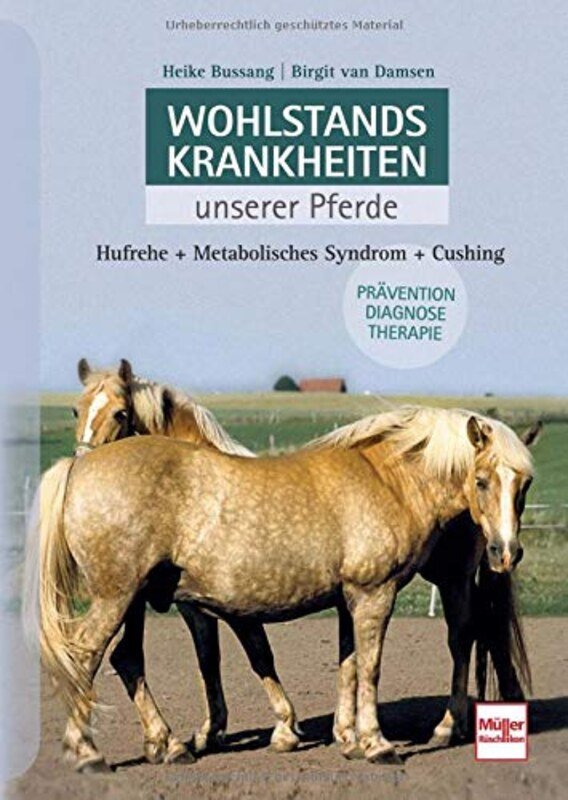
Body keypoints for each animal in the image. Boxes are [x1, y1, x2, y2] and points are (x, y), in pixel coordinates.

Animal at [27, 405, 535, 770]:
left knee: (125, 659)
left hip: (131, 601)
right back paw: (89, 751)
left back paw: (167, 745)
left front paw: (346, 739)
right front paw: (375, 744)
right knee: (86, 656)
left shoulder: (349, 598)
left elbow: (348, 665)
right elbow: (368, 668)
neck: (386, 478)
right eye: (482, 480)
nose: (506, 551)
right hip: (116, 597)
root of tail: (79, 467)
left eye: (524, 484)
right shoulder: (373, 593)